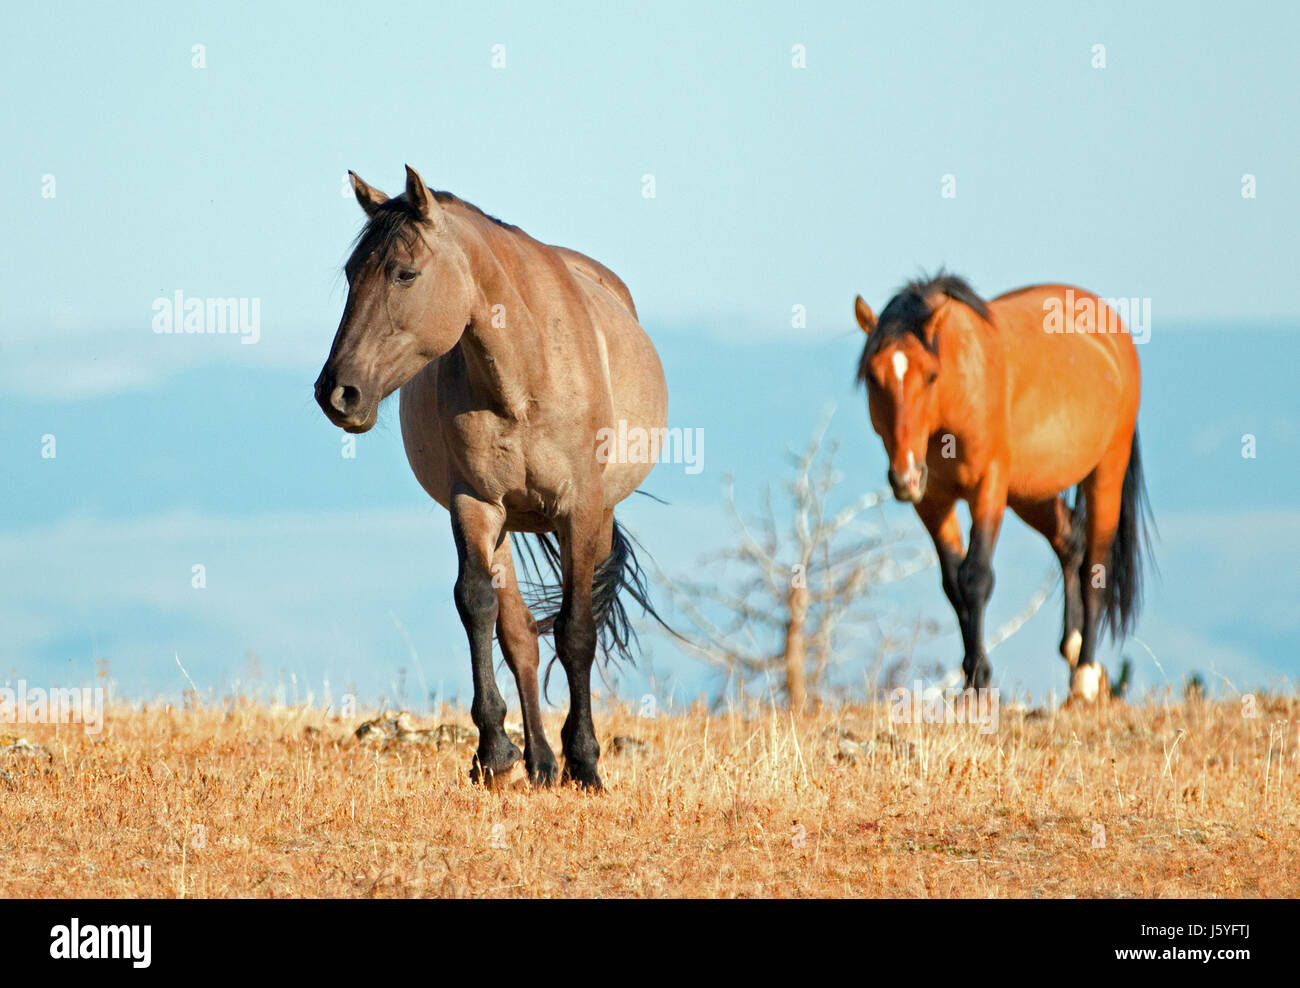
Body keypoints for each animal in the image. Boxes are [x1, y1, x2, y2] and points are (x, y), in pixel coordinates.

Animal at [315, 165, 668, 789]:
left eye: (405, 272)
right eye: (352, 274)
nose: (337, 393)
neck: (525, 373)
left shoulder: (581, 511)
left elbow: (577, 631)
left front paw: (586, 762)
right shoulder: (475, 503)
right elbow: (477, 603)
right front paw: (494, 751)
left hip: (593, 520)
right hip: (506, 524)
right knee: (521, 635)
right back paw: (539, 761)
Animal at [852, 274, 1152, 701]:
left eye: (930, 376)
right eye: (872, 378)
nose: (904, 477)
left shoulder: (988, 488)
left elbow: (975, 576)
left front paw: (980, 681)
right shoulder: (933, 501)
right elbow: (952, 583)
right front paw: (970, 679)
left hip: (1106, 471)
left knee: (1096, 564)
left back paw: (1085, 675)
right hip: (1031, 492)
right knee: (1070, 541)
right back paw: (1073, 648)